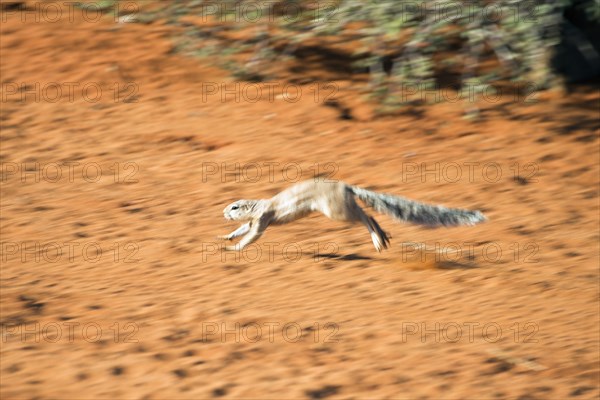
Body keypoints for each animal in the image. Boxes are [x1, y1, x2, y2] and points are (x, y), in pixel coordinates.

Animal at [218, 180, 486, 252]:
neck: (257, 206)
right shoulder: (253, 221)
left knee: (365, 216)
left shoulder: (262, 220)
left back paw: (379, 239)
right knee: (368, 215)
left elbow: (251, 236)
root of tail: (347, 187)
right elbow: (242, 231)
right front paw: (225, 238)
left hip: (336, 211)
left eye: (234, 207)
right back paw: (382, 238)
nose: (222, 212)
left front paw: (234, 248)